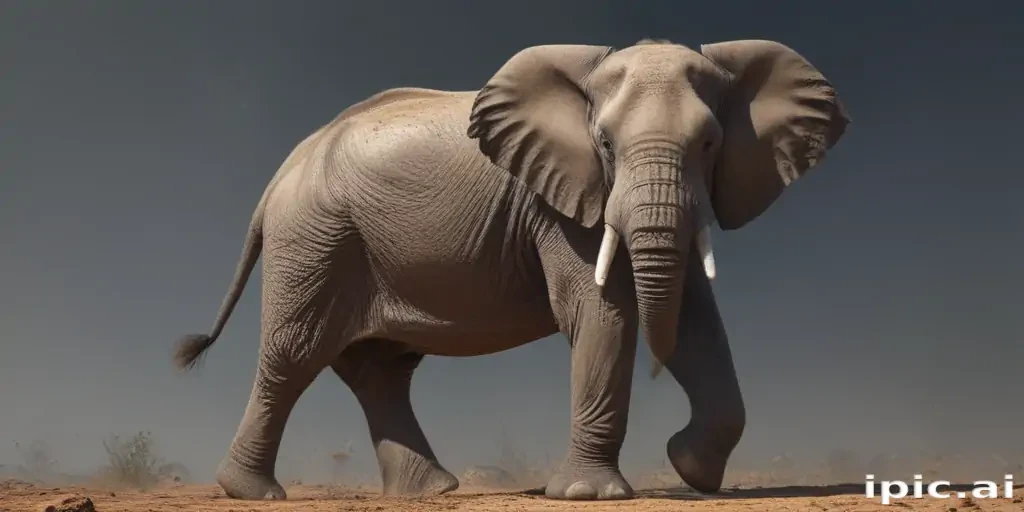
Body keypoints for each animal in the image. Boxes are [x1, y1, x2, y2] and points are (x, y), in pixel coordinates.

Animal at [173, 38, 849, 501]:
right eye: (604, 145)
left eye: (710, 145)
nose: (675, 442)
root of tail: (283, 172)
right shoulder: (561, 203)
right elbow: (604, 311)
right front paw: (590, 496)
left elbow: (694, 319)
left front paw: (692, 470)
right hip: (316, 240)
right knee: (295, 356)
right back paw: (253, 493)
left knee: (381, 371)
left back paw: (433, 492)